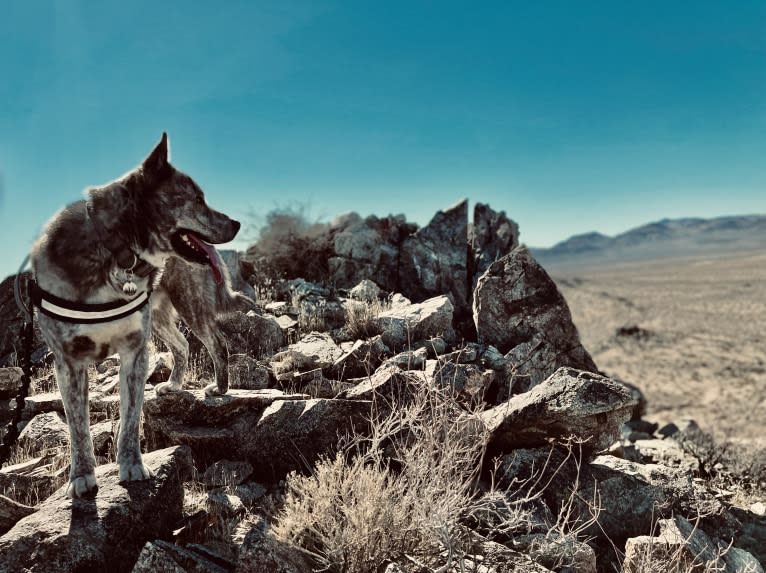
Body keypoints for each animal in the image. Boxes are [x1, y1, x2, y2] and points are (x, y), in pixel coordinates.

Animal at [29, 132, 246, 494]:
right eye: (196, 199)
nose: (237, 223)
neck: (117, 251)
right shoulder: (68, 363)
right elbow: (77, 427)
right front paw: (81, 476)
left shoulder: (134, 350)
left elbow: (130, 417)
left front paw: (131, 466)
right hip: (158, 318)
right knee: (183, 345)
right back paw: (174, 384)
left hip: (186, 303)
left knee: (215, 341)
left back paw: (220, 388)